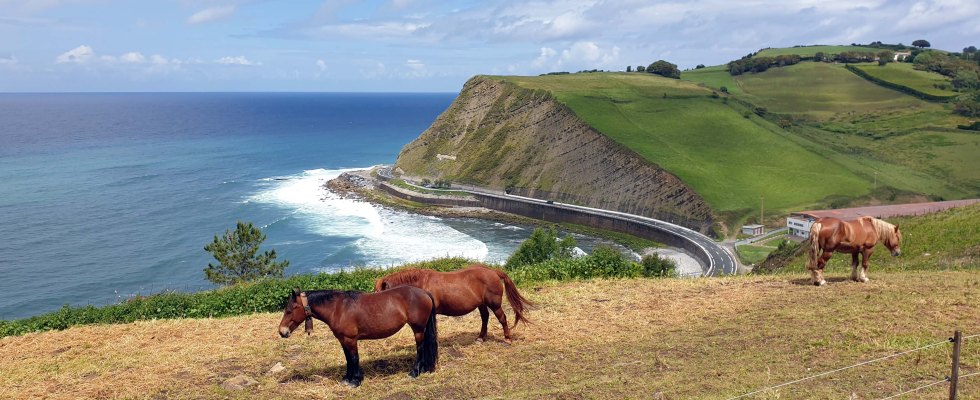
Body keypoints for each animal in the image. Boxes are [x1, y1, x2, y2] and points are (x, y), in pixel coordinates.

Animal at [280, 286, 440, 386]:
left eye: (290, 310)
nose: (282, 332)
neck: (338, 308)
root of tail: (425, 293)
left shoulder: (351, 340)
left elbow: (354, 358)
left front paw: (355, 381)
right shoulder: (343, 340)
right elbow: (348, 359)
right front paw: (347, 379)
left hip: (418, 329)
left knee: (420, 349)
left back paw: (415, 372)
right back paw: (424, 369)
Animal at [376, 262, 532, 344]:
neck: (421, 284)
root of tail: (493, 272)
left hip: (495, 304)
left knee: (502, 318)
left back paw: (507, 338)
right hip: (481, 304)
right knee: (485, 318)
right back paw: (481, 337)